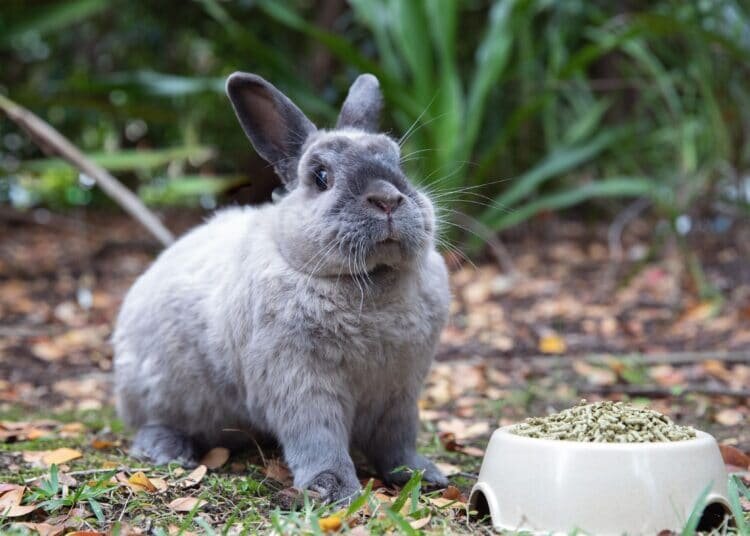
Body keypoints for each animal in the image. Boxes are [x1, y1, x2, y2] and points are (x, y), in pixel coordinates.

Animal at [113, 72, 452, 502]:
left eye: (399, 163)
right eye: (321, 177)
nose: (388, 199)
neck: (368, 283)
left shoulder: (399, 392)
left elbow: (397, 441)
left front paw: (422, 474)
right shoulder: (300, 384)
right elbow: (319, 439)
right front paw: (334, 489)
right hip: (159, 394)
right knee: (152, 423)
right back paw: (167, 451)